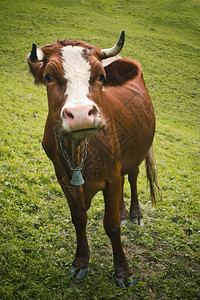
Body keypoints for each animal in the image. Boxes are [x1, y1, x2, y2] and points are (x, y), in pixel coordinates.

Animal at [26, 31, 159, 288]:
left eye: (101, 76)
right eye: (48, 76)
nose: (80, 115)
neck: (79, 150)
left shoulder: (111, 176)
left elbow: (112, 226)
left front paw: (123, 271)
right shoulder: (64, 179)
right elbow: (79, 219)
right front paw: (80, 262)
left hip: (136, 152)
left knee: (133, 177)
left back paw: (135, 214)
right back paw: (124, 212)